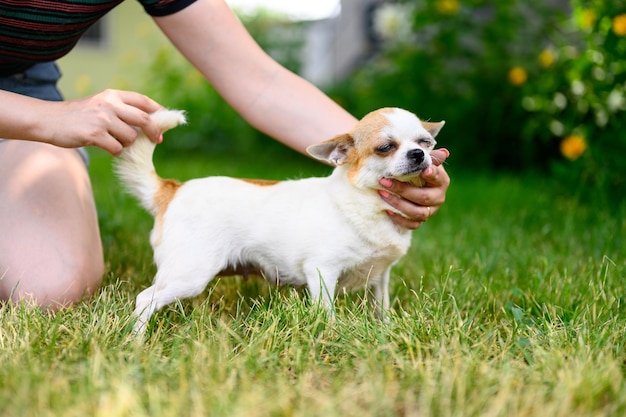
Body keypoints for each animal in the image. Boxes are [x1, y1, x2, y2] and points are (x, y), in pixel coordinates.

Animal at [114, 106, 442, 332]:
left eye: (425, 142)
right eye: (385, 147)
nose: (417, 154)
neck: (368, 203)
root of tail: (172, 189)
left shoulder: (380, 277)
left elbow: (381, 306)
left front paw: (384, 330)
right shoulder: (322, 272)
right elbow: (326, 311)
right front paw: (331, 334)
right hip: (190, 274)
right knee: (145, 299)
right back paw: (136, 340)